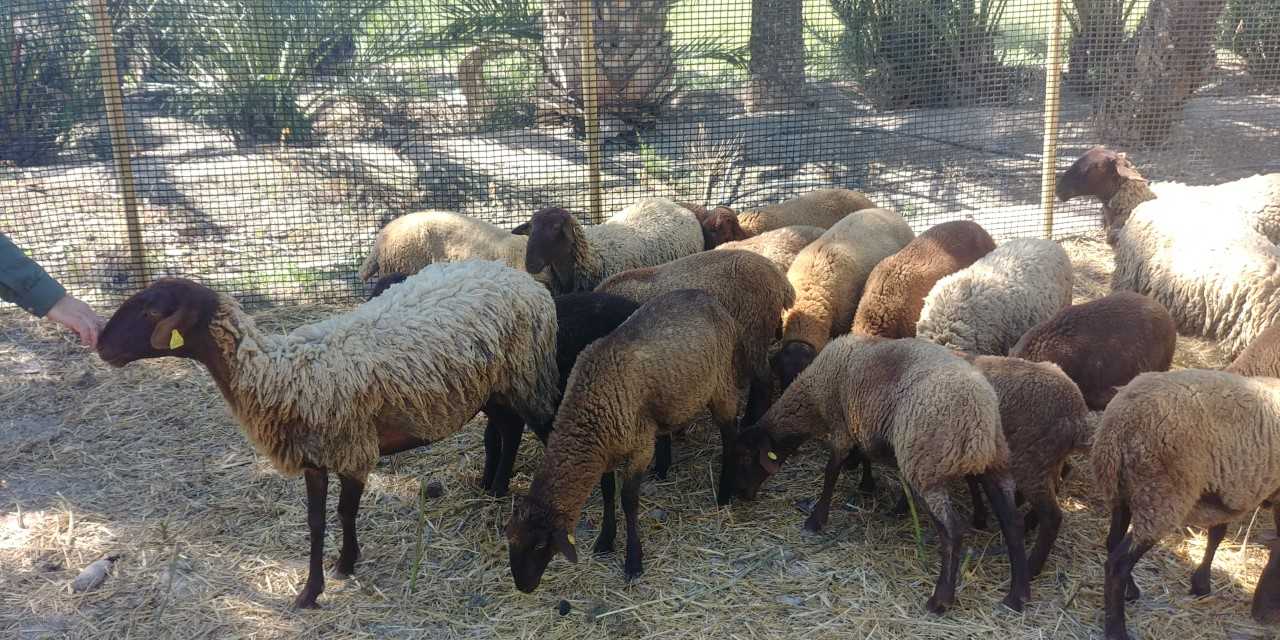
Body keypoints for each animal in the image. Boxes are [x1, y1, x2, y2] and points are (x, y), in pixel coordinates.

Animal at [95, 262, 560, 609]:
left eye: (151, 312)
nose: (100, 346)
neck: (278, 375)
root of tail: (519, 277)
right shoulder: (313, 460)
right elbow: (316, 522)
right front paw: (309, 591)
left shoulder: (353, 451)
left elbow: (344, 513)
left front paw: (346, 563)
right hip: (493, 386)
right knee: (507, 427)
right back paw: (494, 489)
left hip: (528, 376)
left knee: (539, 426)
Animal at [505, 289, 748, 591]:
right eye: (510, 539)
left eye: (539, 546)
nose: (523, 586)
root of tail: (709, 298)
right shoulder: (606, 452)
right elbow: (608, 491)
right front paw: (605, 540)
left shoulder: (640, 448)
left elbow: (628, 500)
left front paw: (633, 561)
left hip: (721, 384)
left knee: (731, 434)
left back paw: (724, 494)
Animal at [734, 335, 1031, 614]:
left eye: (748, 457)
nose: (741, 494)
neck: (813, 396)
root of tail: (979, 420)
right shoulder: (861, 422)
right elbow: (865, 457)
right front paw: (870, 488)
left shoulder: (841, 425)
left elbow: (831, 473)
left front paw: (815, 520)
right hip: (995, 462)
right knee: (1012, 523)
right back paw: (1017, 596)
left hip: (925, 466)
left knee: (952, 531)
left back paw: (940, 600)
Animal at [960, 354, 1092, 577]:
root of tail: (1077, 416)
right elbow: (972, 479)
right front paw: (980, 516)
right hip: (1048, 460)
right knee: (1056, 486)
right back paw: (1029, 522)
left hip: (1029, 462)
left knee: (1052, 517)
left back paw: (1032, 568)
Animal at [1091, 369, 1280, 639]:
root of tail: (1118, 425)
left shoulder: (1223, 489)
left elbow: (1217, 533)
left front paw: (1201, 583)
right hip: (1161, 497)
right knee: (1117, 565)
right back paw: (1117, 630)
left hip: (1122, 491)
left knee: (1112, 542)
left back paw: (1131, 591)